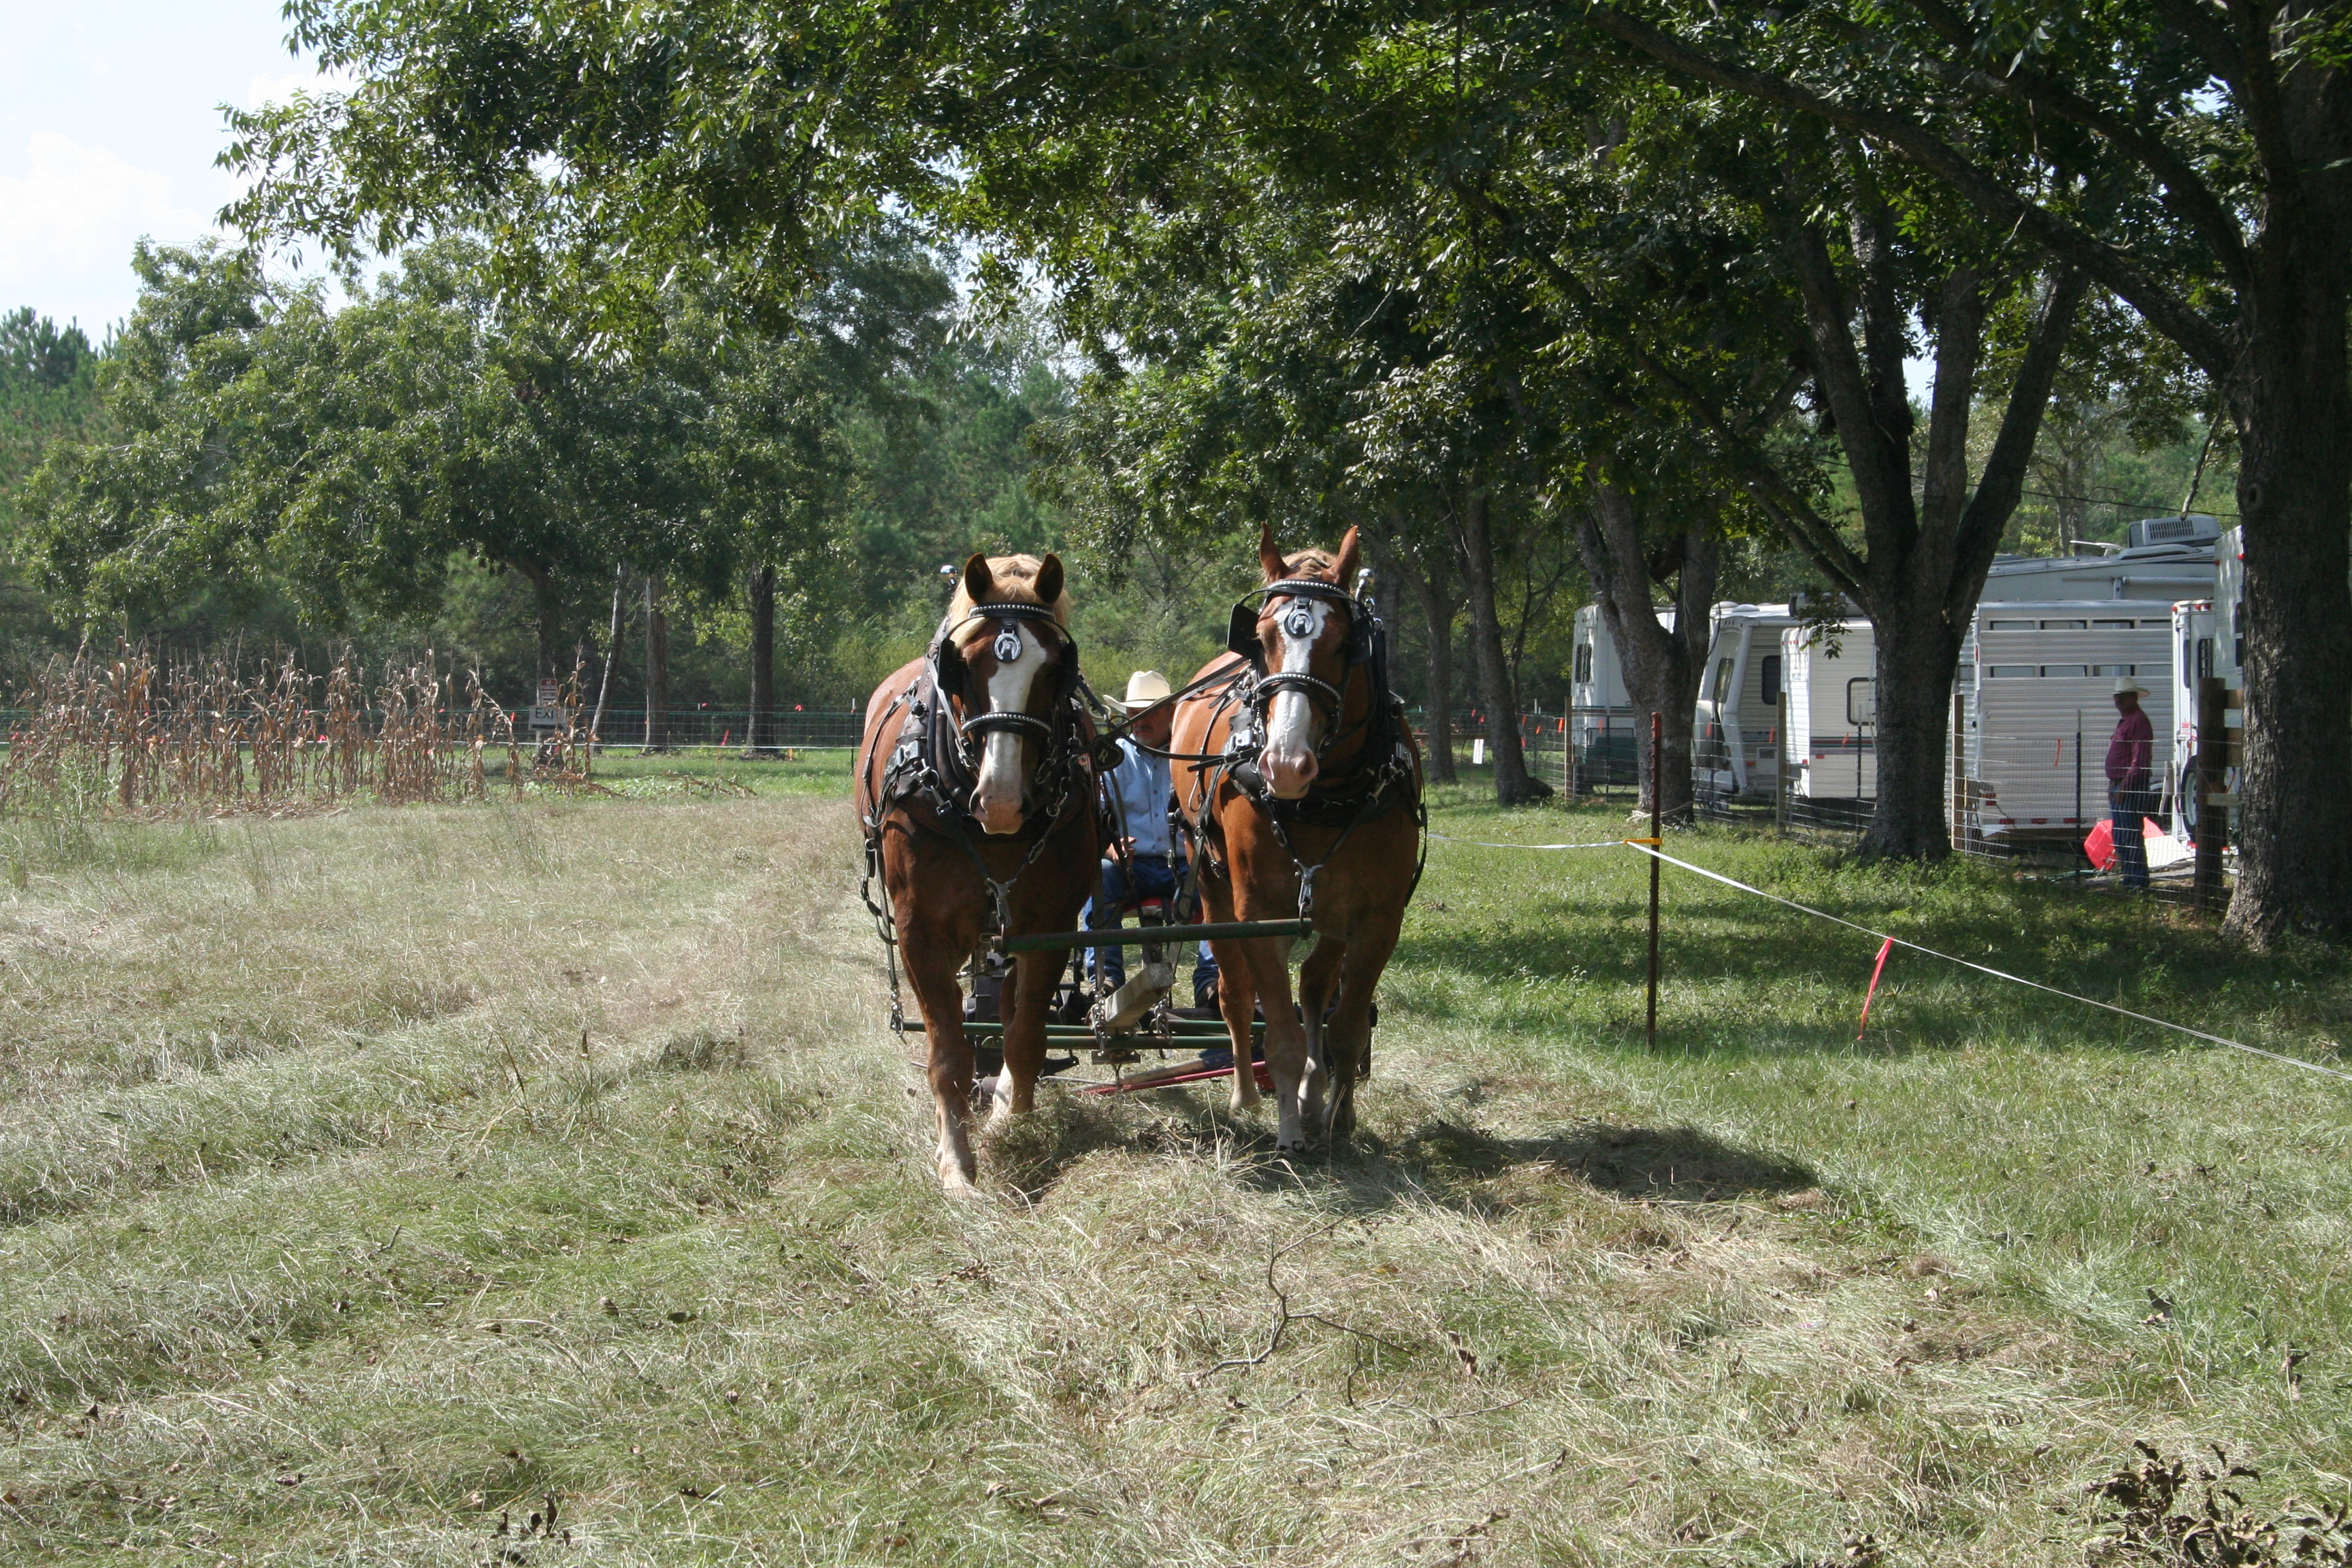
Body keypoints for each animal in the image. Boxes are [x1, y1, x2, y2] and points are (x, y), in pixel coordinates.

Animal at [856, 553, 1099, 1190]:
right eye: (962, 665)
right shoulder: (919, 932)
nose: (1002, 799)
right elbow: (949, 1053)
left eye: (1055, 669)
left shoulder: (1048, 926)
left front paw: (1011, 1124)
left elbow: (1025, 1036)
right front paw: (957, 1165)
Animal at [1170, 524, 1424, 1150]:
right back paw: (1246, 1095)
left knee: (1312, 986)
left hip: (1328, 909)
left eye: (1346, 643)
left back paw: (1314, 1095)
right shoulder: (1259, 913)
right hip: (1212, 886)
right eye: (1260, 639)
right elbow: (1278, 1032)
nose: (1285, 765)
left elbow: (1347, 1025)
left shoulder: (1376, 919)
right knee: (1236, 995)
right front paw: (1288, 1132)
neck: (1324, 798)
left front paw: (1336, 1117)